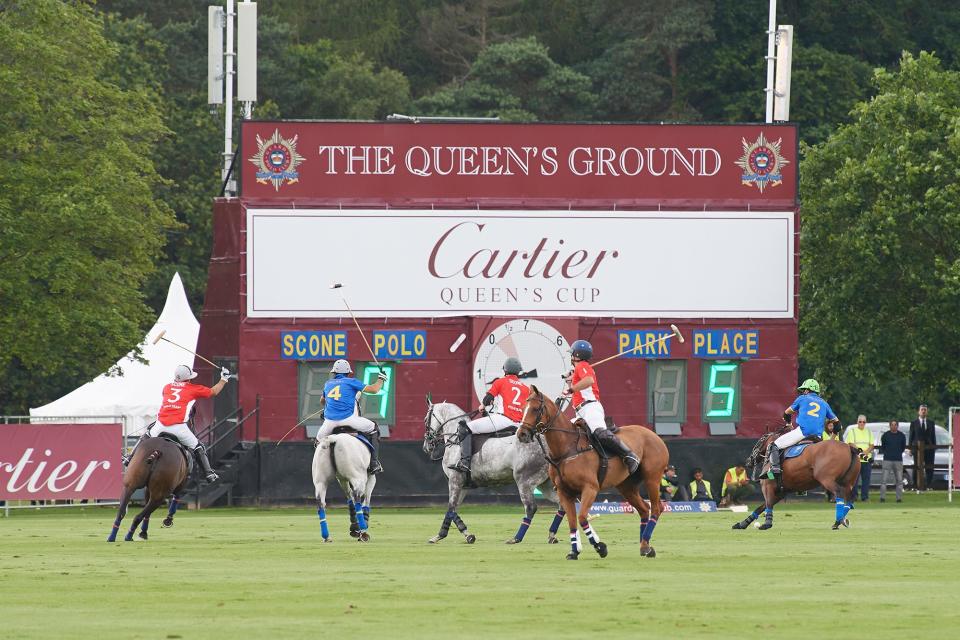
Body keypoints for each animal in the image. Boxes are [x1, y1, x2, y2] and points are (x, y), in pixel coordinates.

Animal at [420, 398, 564, 544]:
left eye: (426, 419)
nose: (426, 446)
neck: (455, 441)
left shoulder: (455, 480)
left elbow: (450, 507)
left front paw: (453, 535)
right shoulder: (463, 485)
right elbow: (453, 508)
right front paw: (454, 535)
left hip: (524, 480)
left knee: (530, 508)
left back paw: (516, 538)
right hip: (545, 483)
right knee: (562, 503)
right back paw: (552, 535)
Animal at [516, 384, 668, 560]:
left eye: (535, 409)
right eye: (523, 408)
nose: (521, 434)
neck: (566, 448)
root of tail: (655, 435)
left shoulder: (590, 488)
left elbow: (582, 517)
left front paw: (600, 547)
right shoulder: (564, 491)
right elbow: (572, 521)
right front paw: (574, 551)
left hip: (652, 478)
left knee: (656, 508)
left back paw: (647, 546)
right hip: (626, 486)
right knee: (644, 508)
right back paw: (644, 546)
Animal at [736, 424, 864, 528]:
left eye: (760, 441)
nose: (748, 461)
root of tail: (850, 447)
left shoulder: (767, 486)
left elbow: (767, 504)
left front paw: (767, 523)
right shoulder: (782, 492)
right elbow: (761, 507)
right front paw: (742, 524)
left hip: (827, 480)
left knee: (838, 493)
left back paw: (838, 521)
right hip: (848, 483)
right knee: (850, 498)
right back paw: (842, 520)